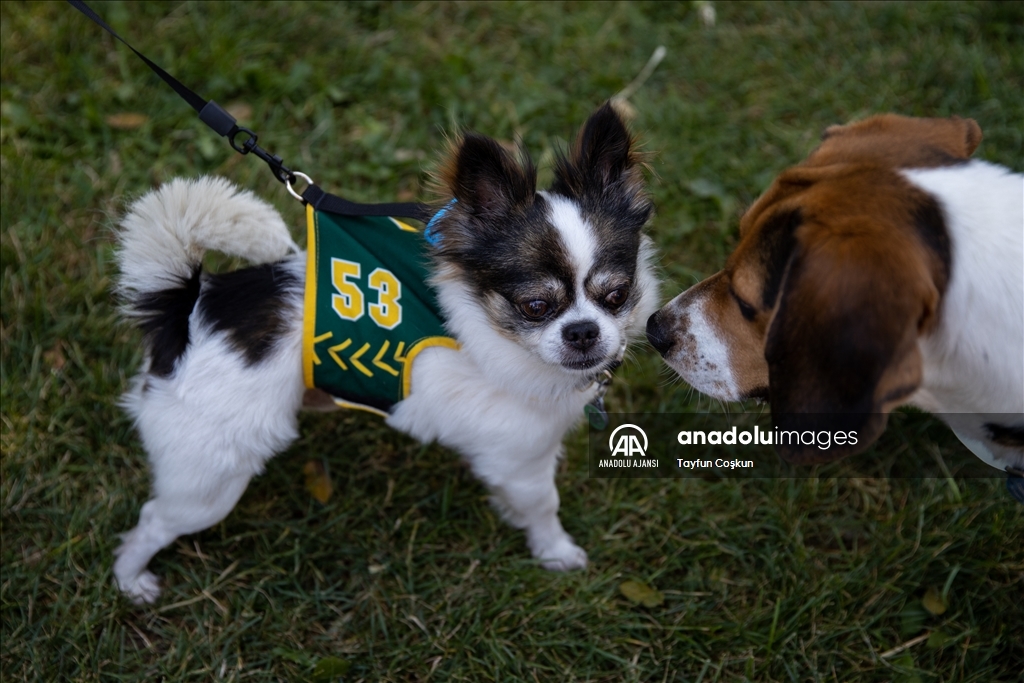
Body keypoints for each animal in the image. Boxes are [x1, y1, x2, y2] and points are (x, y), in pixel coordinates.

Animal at [110, 104, 655, 602]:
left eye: (616, 295)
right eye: (536, 306)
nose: (583, 332)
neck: (489, 324)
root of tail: (185, 310)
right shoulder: (521, 459)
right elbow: (544, 507)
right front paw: (555, 552)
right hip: (211, 476)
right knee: (154, 519)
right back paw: (131, 580)